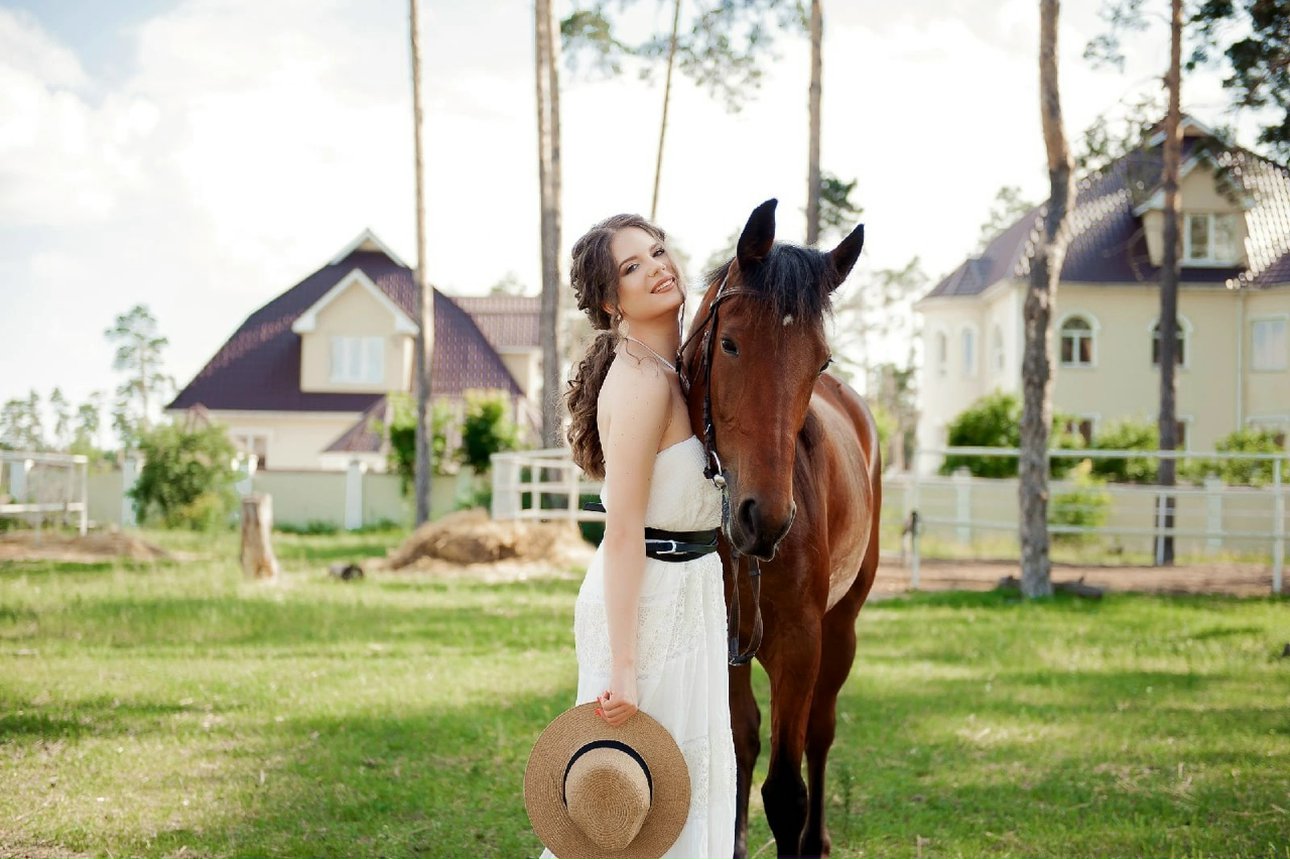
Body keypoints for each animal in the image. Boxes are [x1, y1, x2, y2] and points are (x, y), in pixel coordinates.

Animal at [679, 199, 881, 859]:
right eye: (730, 344)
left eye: (819, 361)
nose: (763, 517)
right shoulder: (722, 639)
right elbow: (738, 742)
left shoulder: (799, 644)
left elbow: (787, 792)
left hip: (841, 628)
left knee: (821, 732)